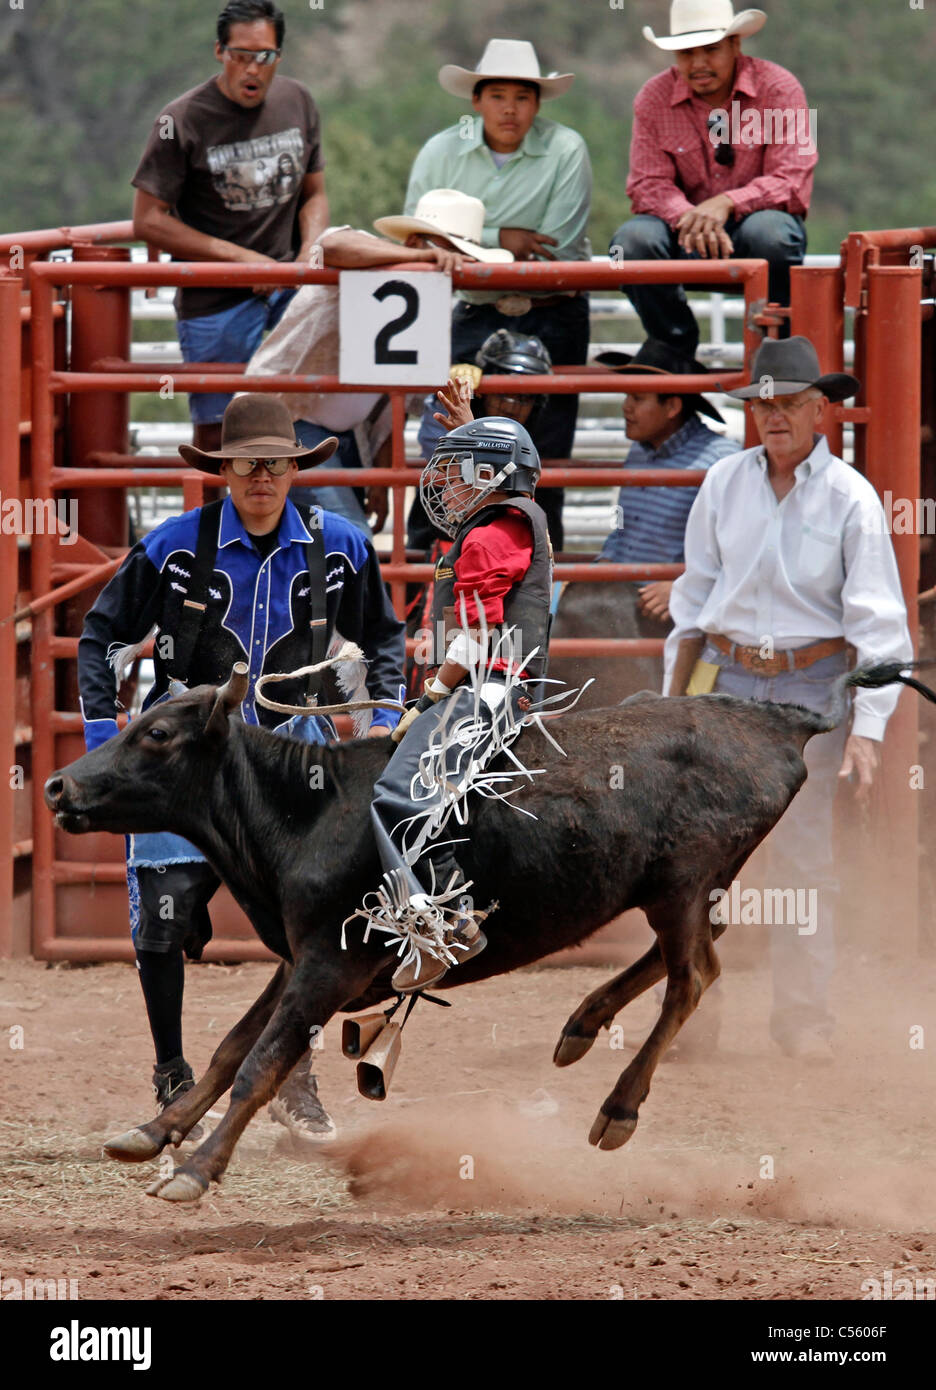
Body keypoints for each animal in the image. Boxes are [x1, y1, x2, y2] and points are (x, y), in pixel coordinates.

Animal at [44, 660, 931, 1204]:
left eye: (158, 734)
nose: (57, 785)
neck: (310, 807)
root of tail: (779, 721)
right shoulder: (302, 958)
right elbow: (234, 1045)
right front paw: (152, 1132)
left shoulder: (328, 965)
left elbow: (262, 1062)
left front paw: (192, 1172)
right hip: (676, 891)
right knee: (676, 960)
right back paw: (581, 1025)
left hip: (685, 882)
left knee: (695, 978)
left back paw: (617, 1108)